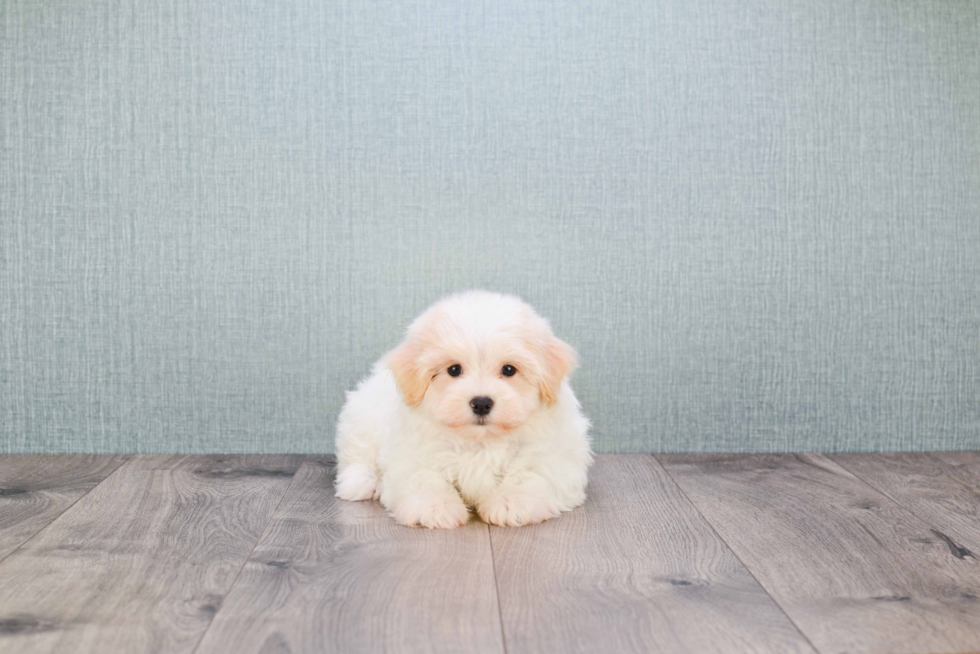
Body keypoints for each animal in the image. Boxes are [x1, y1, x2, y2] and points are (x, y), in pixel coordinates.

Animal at [334, 290, 592, 528]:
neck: (480, 442)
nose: (481, 403)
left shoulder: (555, 458)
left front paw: (511, 502)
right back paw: (361, 482)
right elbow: (424, 477)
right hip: (362, 416)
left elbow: (529, 473)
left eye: (509, 370)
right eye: (454, 370)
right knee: (357, 454)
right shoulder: (412, 454)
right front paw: (435, 506)